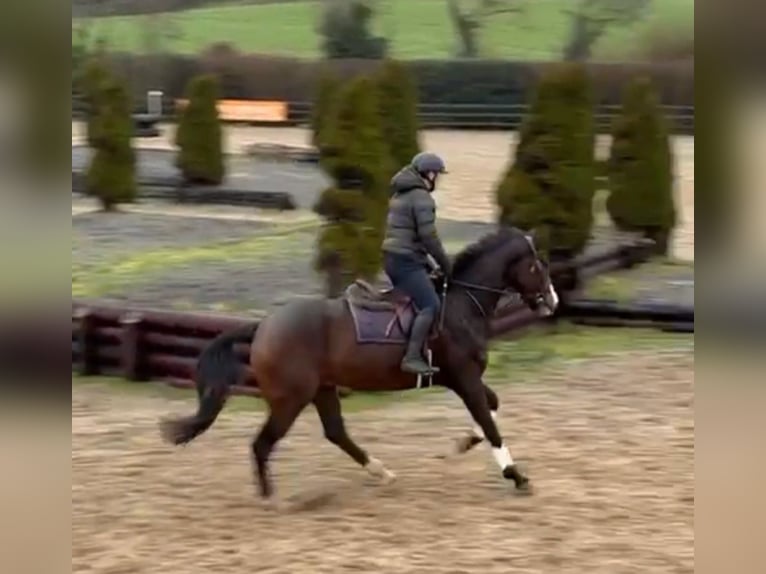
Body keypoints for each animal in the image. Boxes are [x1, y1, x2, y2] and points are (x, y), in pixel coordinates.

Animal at [160, 225, 559, 499]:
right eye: (537, 266)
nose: (552, 302)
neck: (462, 305)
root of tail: (264, 326)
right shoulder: (464, 378)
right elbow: (490, 422)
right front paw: (516, 476)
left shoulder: (464, 378)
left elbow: (491, 408)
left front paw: (463, 443)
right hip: (291, 399)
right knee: (263, 444)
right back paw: (271, 498)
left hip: (322, 389)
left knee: (336, 433)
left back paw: (380, 472)